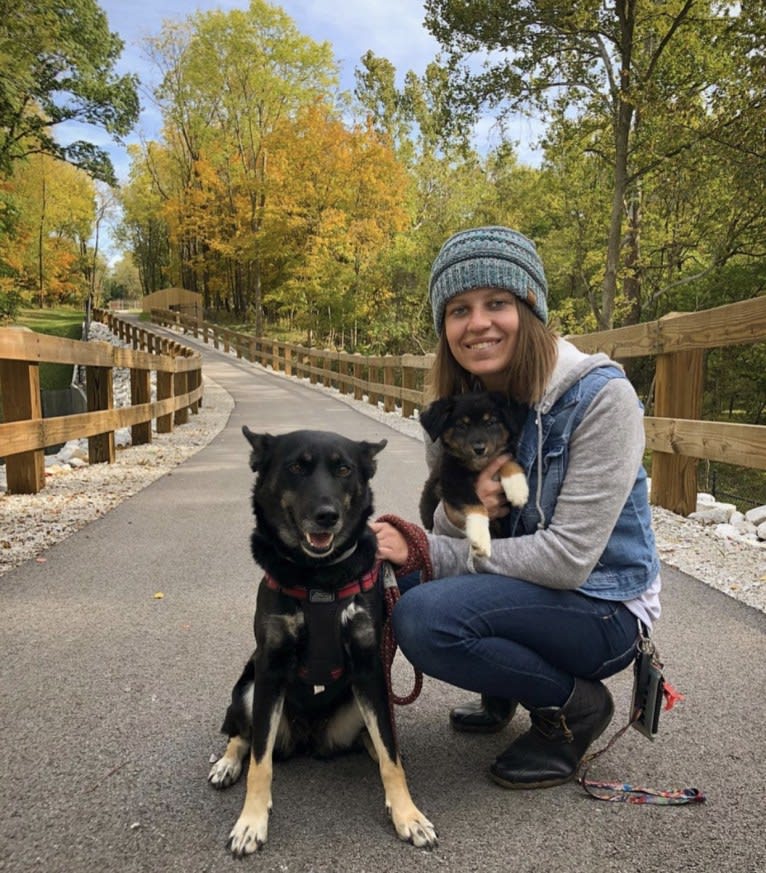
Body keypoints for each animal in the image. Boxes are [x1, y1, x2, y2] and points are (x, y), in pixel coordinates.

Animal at [210, 426, 438, 856]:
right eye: (297, 467)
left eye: (344, 469)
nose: (327, 516)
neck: (318, 577)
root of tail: (307, 738)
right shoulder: (270, 668)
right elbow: (260, 763)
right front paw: (251, 822)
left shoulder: (369, 669)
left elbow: (391, 755)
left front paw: (408, 814)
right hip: (248, 690)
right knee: (243, 736)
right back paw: (227, 763)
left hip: (356, 704)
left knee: (375, 739)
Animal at [420, 394, 528, 560]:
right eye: (462, 426)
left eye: (490, 422)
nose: (479, 449)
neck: (478, 466)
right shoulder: (452, 481)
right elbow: (476, 505)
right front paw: (480, 539)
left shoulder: (497, 456)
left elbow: (506, 460)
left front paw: (518, 490)